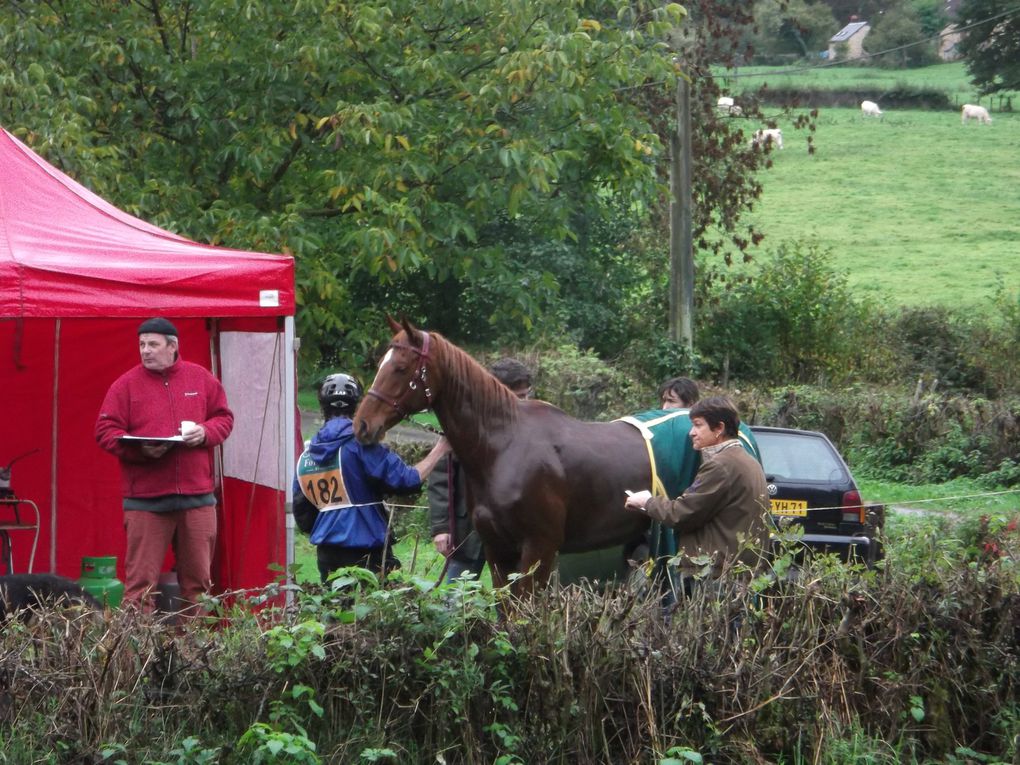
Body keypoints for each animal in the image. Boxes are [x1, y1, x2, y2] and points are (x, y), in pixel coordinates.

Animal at [354, 318, 648, 591]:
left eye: (401, 368)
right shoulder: (497, 549)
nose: (362, 424)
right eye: (380, 364)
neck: (505, 447)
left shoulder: (539, 547)